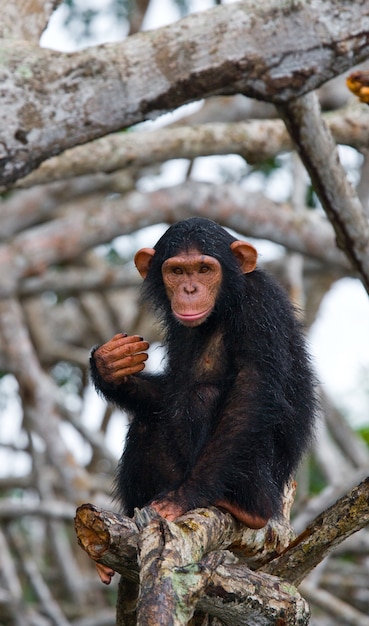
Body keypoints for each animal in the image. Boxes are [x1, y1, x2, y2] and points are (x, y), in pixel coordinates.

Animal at [90, 216, 316, 580]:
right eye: (177, 271)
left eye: (204, 269)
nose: (190, 290)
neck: (225, 303)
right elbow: (171, 389)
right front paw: (108, 367)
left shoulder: (259, 307)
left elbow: (251, 389)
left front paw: (184, 498)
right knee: (147, 423)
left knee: (203, 398)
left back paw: (248, 508)